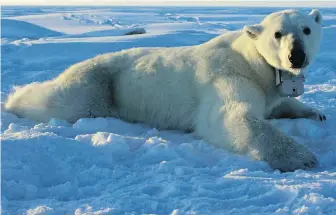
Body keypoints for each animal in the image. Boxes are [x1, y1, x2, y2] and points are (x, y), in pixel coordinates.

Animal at [5, 9, 326, 171]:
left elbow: (279, 104)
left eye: (306, 29)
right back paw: (14, 99)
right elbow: (230, 117)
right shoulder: (228, 76)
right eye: (278, 33)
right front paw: (303, 157)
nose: (296, 56)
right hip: (98, 85)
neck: (252, 60)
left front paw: (315, 113)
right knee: (63, 101)